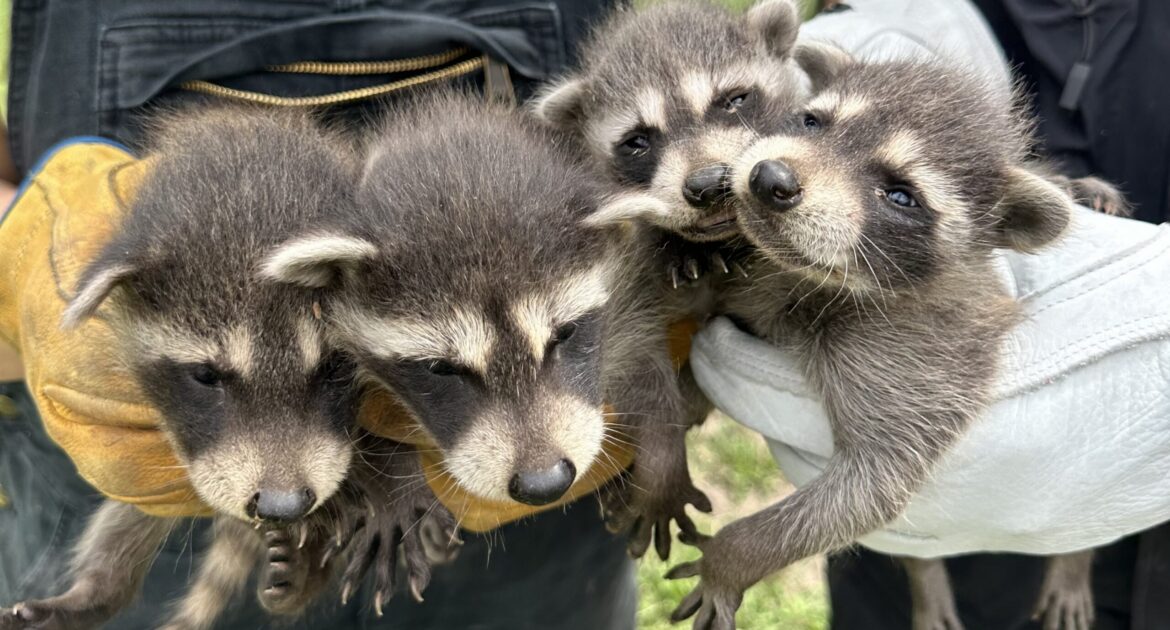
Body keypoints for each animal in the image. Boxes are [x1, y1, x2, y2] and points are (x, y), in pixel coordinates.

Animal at [261, 89, 709, 572]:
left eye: (564, 334)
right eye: (441, 368)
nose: (545, 483)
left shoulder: (625, 291)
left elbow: (647, 370)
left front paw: (662, 465)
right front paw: (393, 483)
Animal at [663, 50, 1092, 630]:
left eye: (901, 195)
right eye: (812, 122)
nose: (770, 178)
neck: (811, 277)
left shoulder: (920, 350)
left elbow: (871, 486)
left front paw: (732, 556)